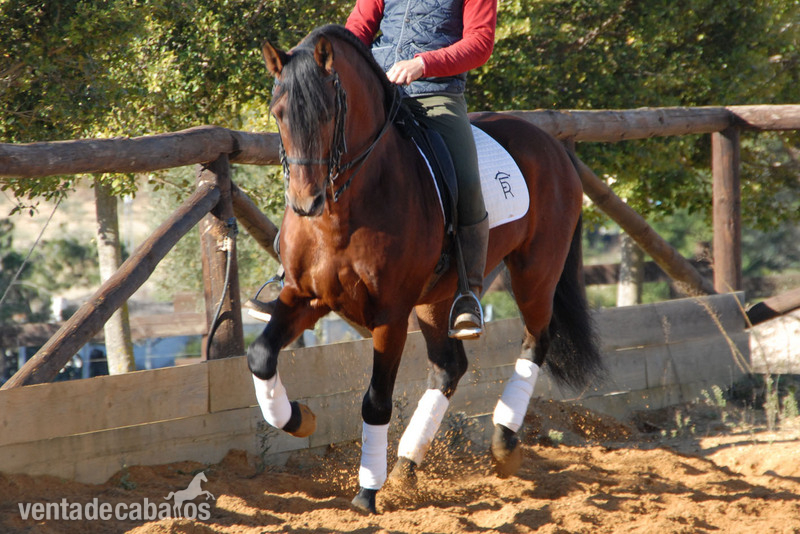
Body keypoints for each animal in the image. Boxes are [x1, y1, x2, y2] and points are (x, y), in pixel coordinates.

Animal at [247, 24, 603, 514]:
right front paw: (298, 418)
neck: (345, 208)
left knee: (536, 341)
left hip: (535, 273)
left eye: (326, 112)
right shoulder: (306, 296)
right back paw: (406, 468)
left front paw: (366, 492)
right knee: (449, 368)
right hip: (438, 299)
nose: (306, 203)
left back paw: (503, 443)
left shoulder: (390, 315)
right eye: (277, 113)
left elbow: (376, 400)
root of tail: (550, 143)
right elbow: (261, 356)